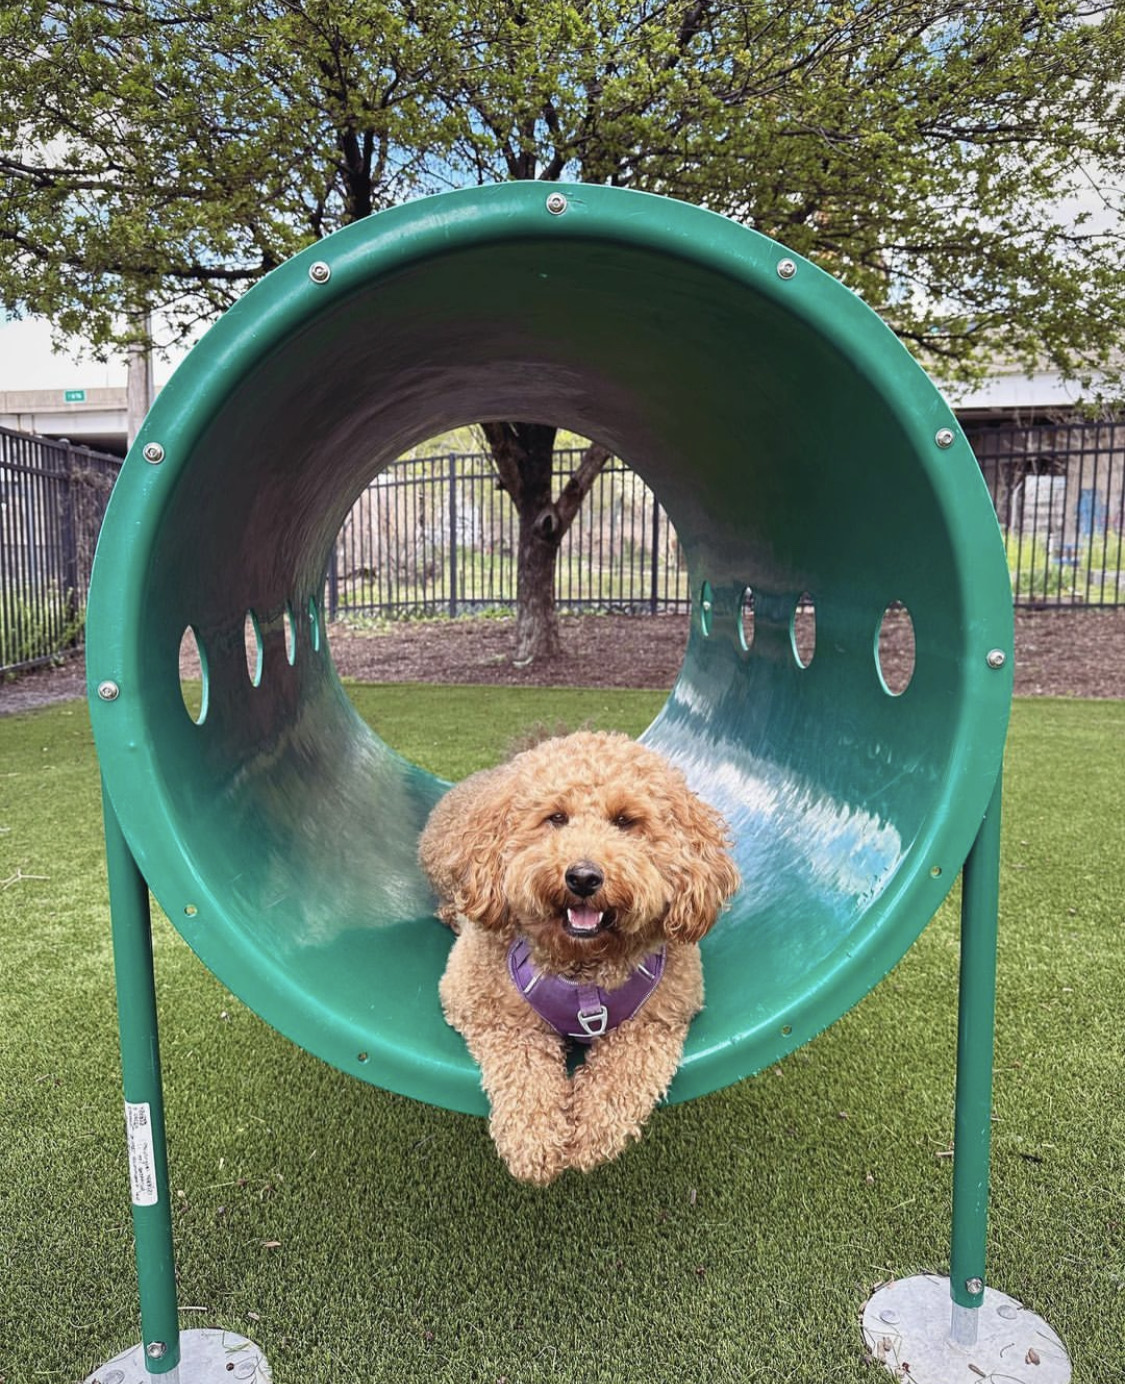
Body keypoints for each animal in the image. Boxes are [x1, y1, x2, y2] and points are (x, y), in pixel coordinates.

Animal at [417, 730, 741, 1184]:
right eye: (556, 817)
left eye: (624, 820)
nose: (584, 877)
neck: (584, 966)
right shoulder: (478, 1002)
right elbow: (522, 1063)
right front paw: (532, 1139)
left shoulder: (660, 1019)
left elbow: (626, 1071)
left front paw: (592, 1132)